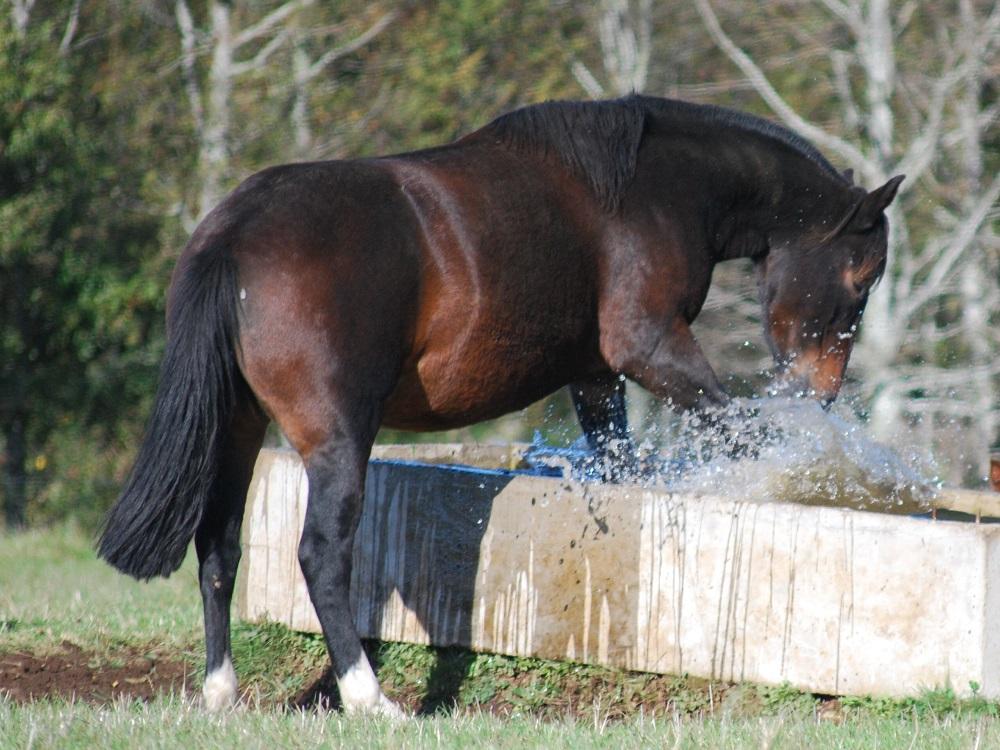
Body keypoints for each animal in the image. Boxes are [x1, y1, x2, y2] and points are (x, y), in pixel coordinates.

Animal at [99, 94, 908, 716]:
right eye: (862, 276)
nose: (820, 392)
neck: (653, 189)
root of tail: (236, 231)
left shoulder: (596, 375)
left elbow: (620, 460)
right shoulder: (649, 347)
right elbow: (735, 429)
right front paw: (808, 471)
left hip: (237, 430)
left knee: (218, 548)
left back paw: (220, 693)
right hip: (336, 438)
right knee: (321, 555)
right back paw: (369, 698)